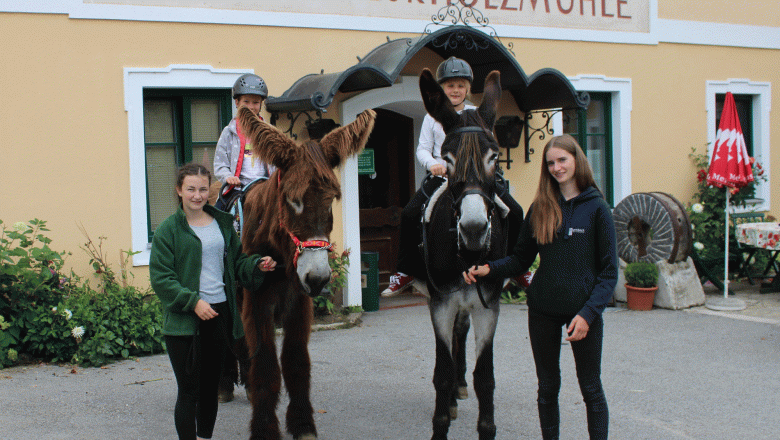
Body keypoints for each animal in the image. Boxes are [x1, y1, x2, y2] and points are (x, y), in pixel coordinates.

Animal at [236, 106, 376, 440]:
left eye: (332, 200)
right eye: (293, 200)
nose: (319, 279)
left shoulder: (299, 305)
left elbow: (296, 363)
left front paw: (302, 424)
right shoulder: (256, 304)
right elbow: (266, 365)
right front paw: (264, 429)